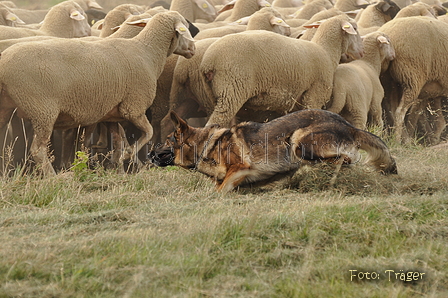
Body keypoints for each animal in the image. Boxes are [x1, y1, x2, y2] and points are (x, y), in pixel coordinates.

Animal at [0, 10, 194, 176]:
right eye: (184, 29)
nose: (193, 48)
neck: (147, 52)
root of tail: (3, 64)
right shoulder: (133, 108)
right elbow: (148, 133)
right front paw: (127, 156)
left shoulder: (112, 115)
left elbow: (118, 141)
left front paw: (118, 168)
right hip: (42, 111)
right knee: (38, 149)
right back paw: (54, 177)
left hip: (7, 109)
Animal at [150, 109, 400, 191]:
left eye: (168, 140)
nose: (149, 154)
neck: (205, 145)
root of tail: (349, 126)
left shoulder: (239, 168)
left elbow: (218, 190)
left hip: (297, 141)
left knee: (343, 159)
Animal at [200, 14, 364, 126]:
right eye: (355, 29)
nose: (362, 52)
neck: (326, 52)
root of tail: (209, 61)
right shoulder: (314, 96)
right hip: (232, 90)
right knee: (214, 123)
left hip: (216, 95)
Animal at [380, 15, 448, 144]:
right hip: (412, 78)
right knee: (400, 111)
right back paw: (399, 141)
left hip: (389, 81)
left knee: (392, 109)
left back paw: (404, 139)